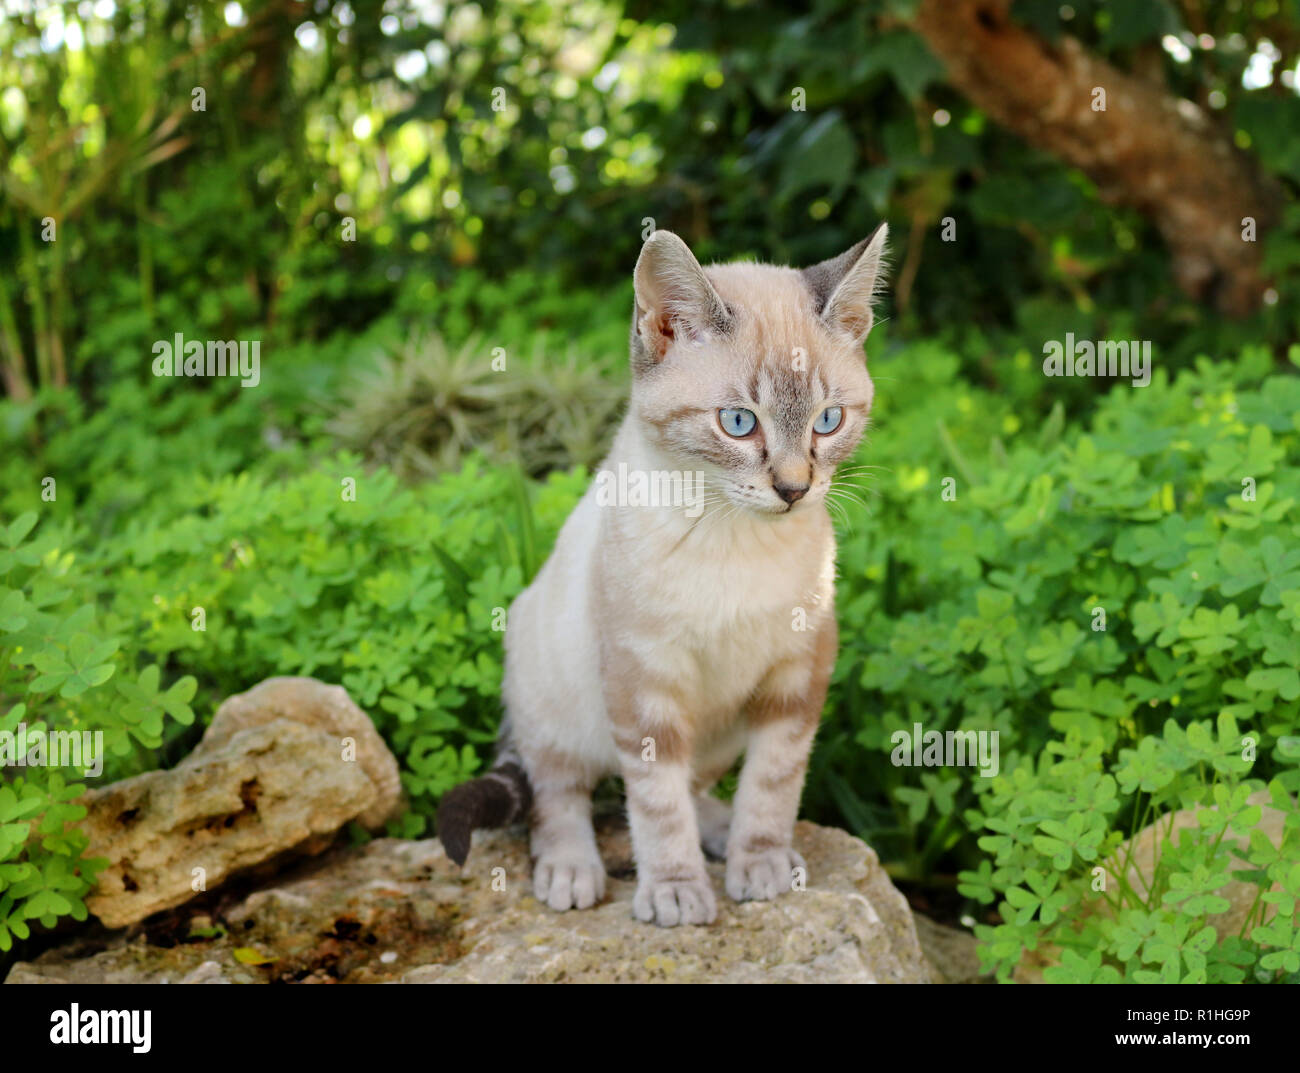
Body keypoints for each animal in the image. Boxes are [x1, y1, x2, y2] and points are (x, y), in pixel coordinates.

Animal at [441, 223, 889, 920]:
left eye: (828, 421)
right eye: (739, 423)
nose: (794, 490)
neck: (736, 538)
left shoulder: (798, 672)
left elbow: (772, 785)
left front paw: (758, 862)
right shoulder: (644, 680)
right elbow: (656, 804)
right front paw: (676, 890)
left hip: (720, 730)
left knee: (699, 784)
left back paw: (725, 834)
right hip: (547, 690)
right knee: (557, 792)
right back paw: (571, 870)